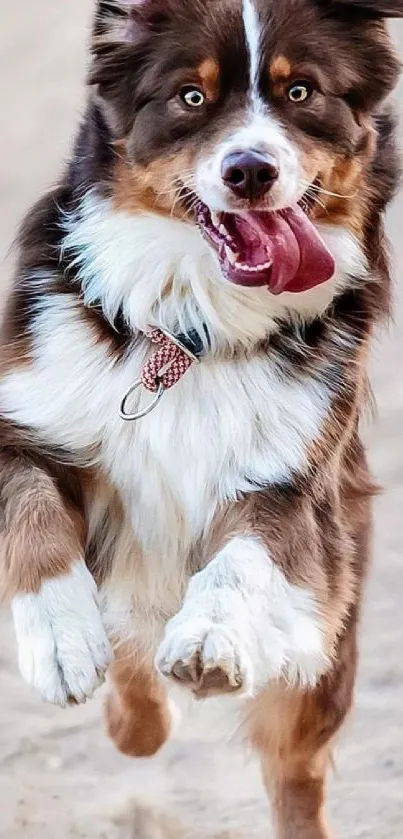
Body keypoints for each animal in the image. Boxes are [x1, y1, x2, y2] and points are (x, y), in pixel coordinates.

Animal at [0, 0, 402, 836]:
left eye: (299, 91)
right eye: (190, 96)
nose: (249, 170)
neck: (189, 327)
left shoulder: (294, 485)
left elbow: (245, 556)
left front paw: (210, 636)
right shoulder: (27, 421)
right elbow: (32, 513)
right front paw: (60, 638)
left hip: (325, 649)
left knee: (294, 777)